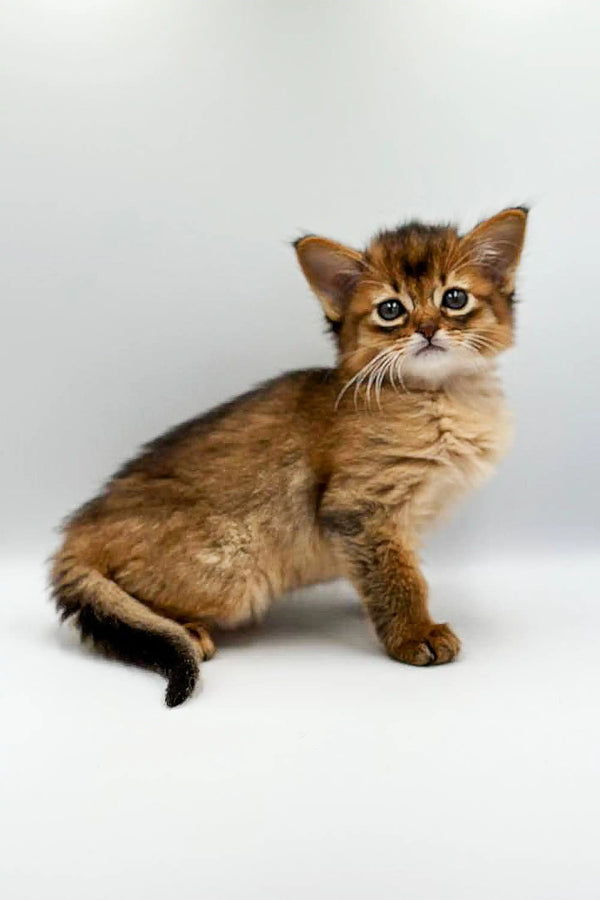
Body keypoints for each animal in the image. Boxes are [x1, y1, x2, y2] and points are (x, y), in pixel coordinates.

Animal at [52, 207, 528, 708]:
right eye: (391, 309)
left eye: (454, 298)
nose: (429, 328)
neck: (442, 397)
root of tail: (82, 527)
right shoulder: (358, 509)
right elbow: (398, 579)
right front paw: (413, 633)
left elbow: (392, 572)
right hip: (235, 567)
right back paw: (183, 630)